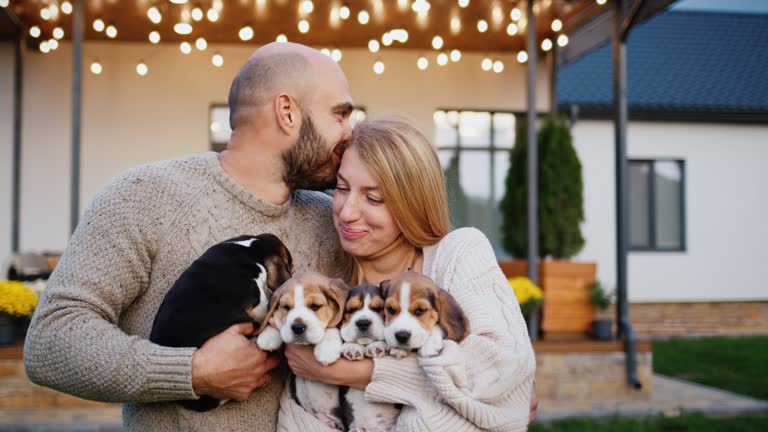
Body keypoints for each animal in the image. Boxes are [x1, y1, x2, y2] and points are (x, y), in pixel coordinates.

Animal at [256, 270, 350, 428]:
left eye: (315, 306)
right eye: (286, 307)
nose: (298, 327)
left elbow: (333, 325)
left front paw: (327, 349)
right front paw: (268, 336)